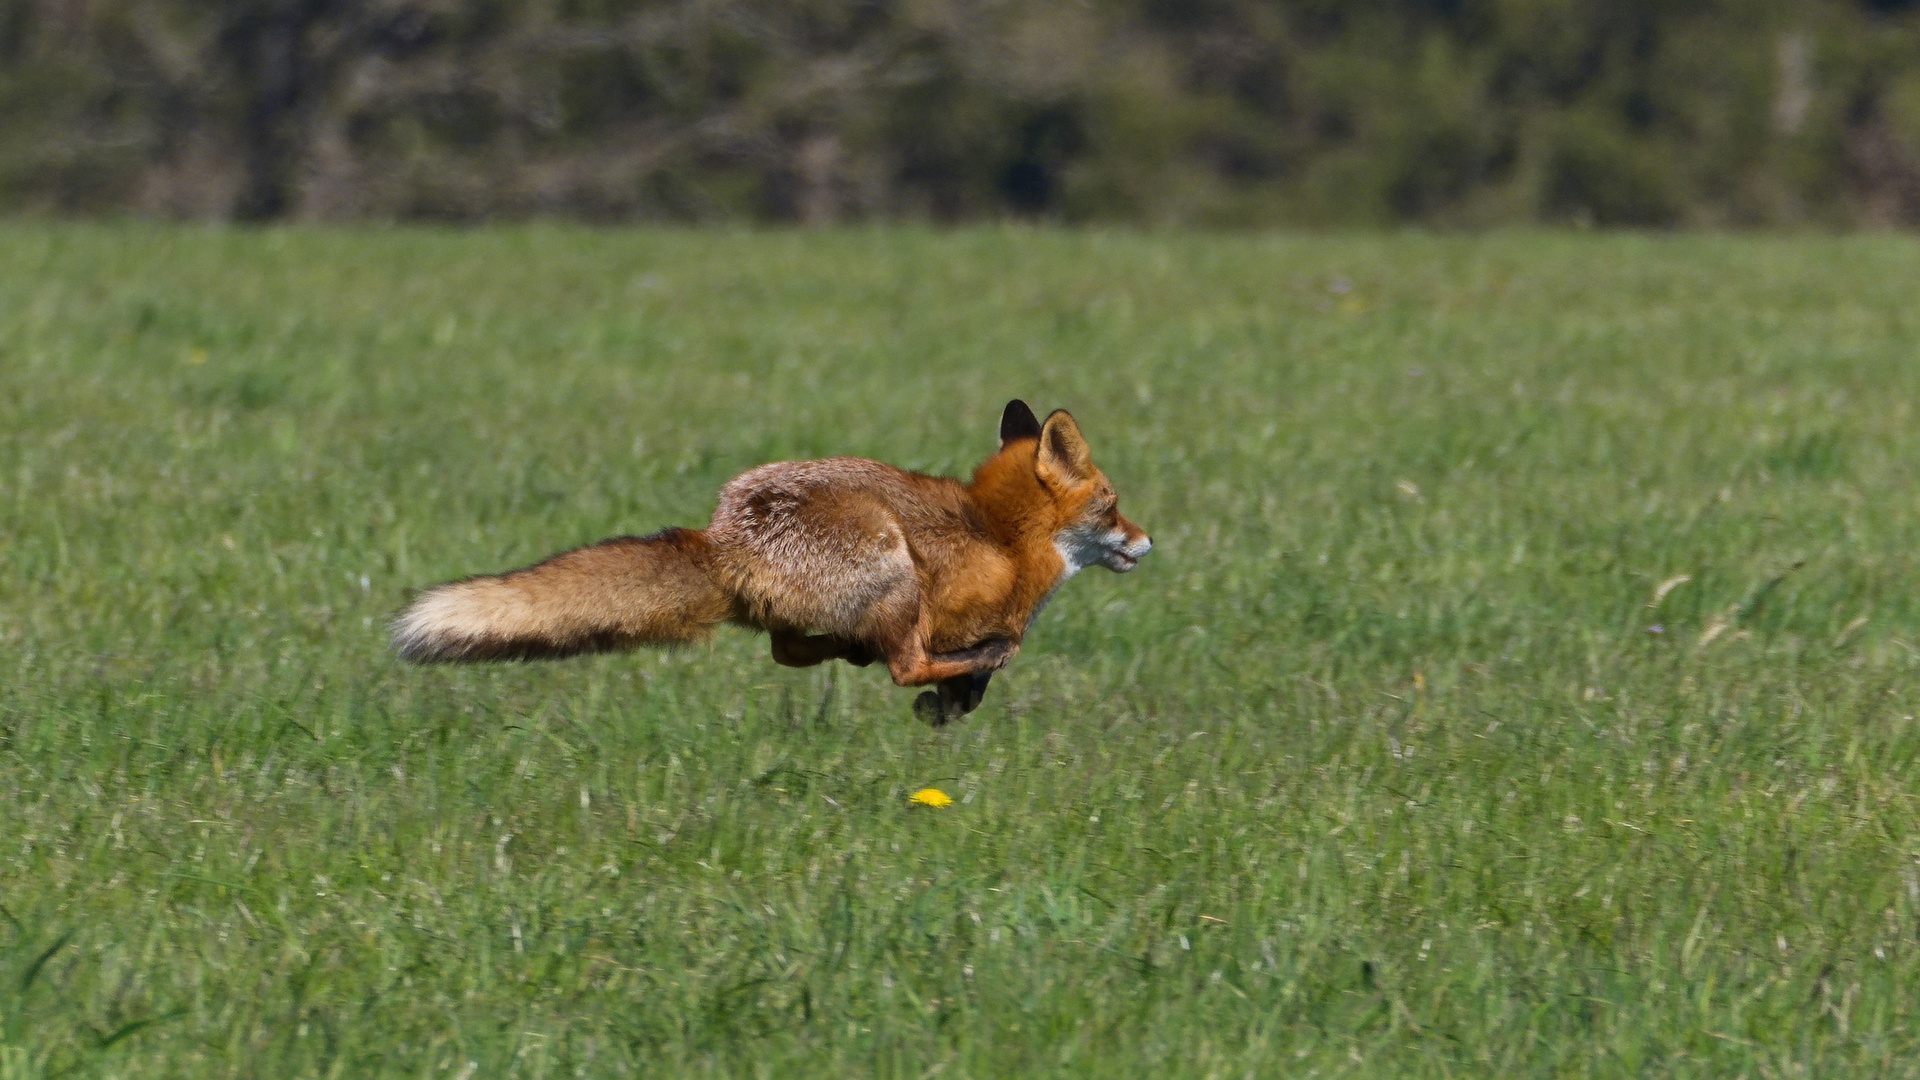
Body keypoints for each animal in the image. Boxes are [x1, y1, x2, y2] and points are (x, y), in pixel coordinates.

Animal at [382, 401, 1144, 722]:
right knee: (895, 660)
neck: (1003, 540)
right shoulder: (957, 614)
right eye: (1112, 505)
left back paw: (851, 650)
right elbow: (968, 659)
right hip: (892, 564)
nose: (1147, 541)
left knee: (789, 648)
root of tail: (725, 537)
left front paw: (950, 706)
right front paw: (963, 683)